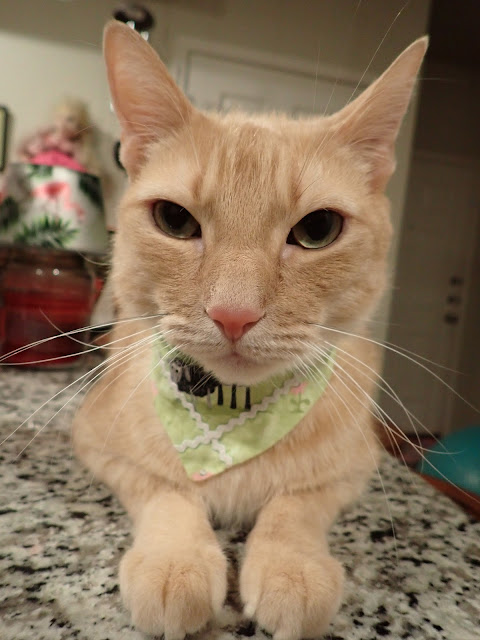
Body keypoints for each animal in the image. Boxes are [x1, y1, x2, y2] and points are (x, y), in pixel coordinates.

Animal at [72, 20, 427, 640]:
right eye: (174, 220)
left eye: (318, 229)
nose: (233, 314)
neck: (232, 417)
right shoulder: (99, 444)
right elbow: (167, 488)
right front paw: (175, 562)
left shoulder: (355, 468)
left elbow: (294, 506)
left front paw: (291, 567)